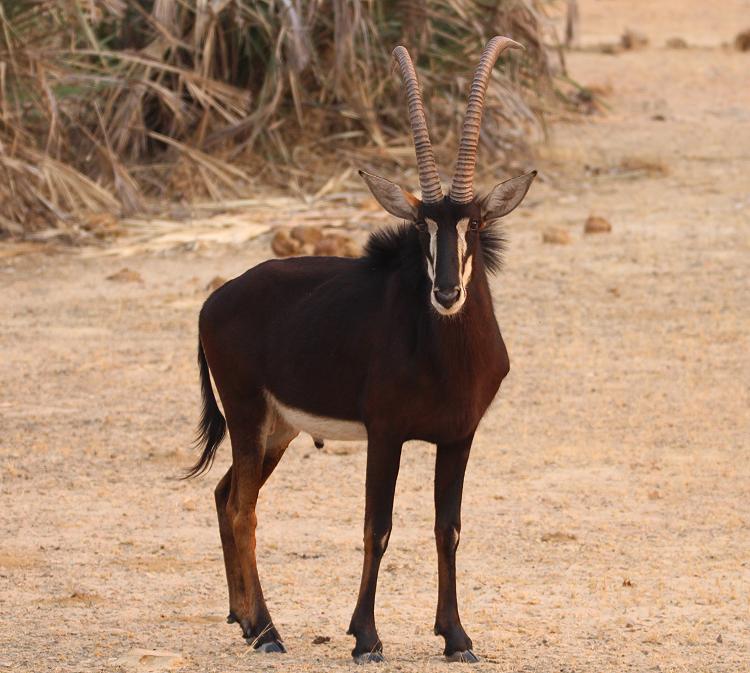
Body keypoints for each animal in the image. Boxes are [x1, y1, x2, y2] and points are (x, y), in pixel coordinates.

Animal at [191, 36, 536, 660]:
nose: (446, 292)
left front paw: (456, 637)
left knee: (226, 496)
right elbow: (378, 527)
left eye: (472, 225)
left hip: (277, 430)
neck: (446, 358)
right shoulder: (386, 433)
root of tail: (214, 301)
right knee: (243, 508)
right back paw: (269, 632)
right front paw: (366, 637)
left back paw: (245, 620)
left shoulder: (459, 438)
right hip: (248, 416)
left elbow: (447, 529)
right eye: (422, 226)